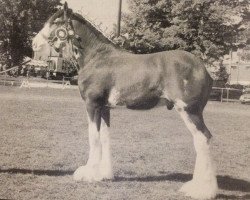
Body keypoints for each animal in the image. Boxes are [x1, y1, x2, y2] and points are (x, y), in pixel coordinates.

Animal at [32, 3, 217, 200]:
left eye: (56, 22)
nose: (34, 43)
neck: (96, 58)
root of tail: (204, 69)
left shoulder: (92, 105)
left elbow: (93, 137)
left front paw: (88, 173)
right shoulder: (105, 108)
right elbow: (104, 137)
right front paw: (104, 174)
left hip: (189, 110)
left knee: (203, 138)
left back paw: (201, 190)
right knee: (200, 140)